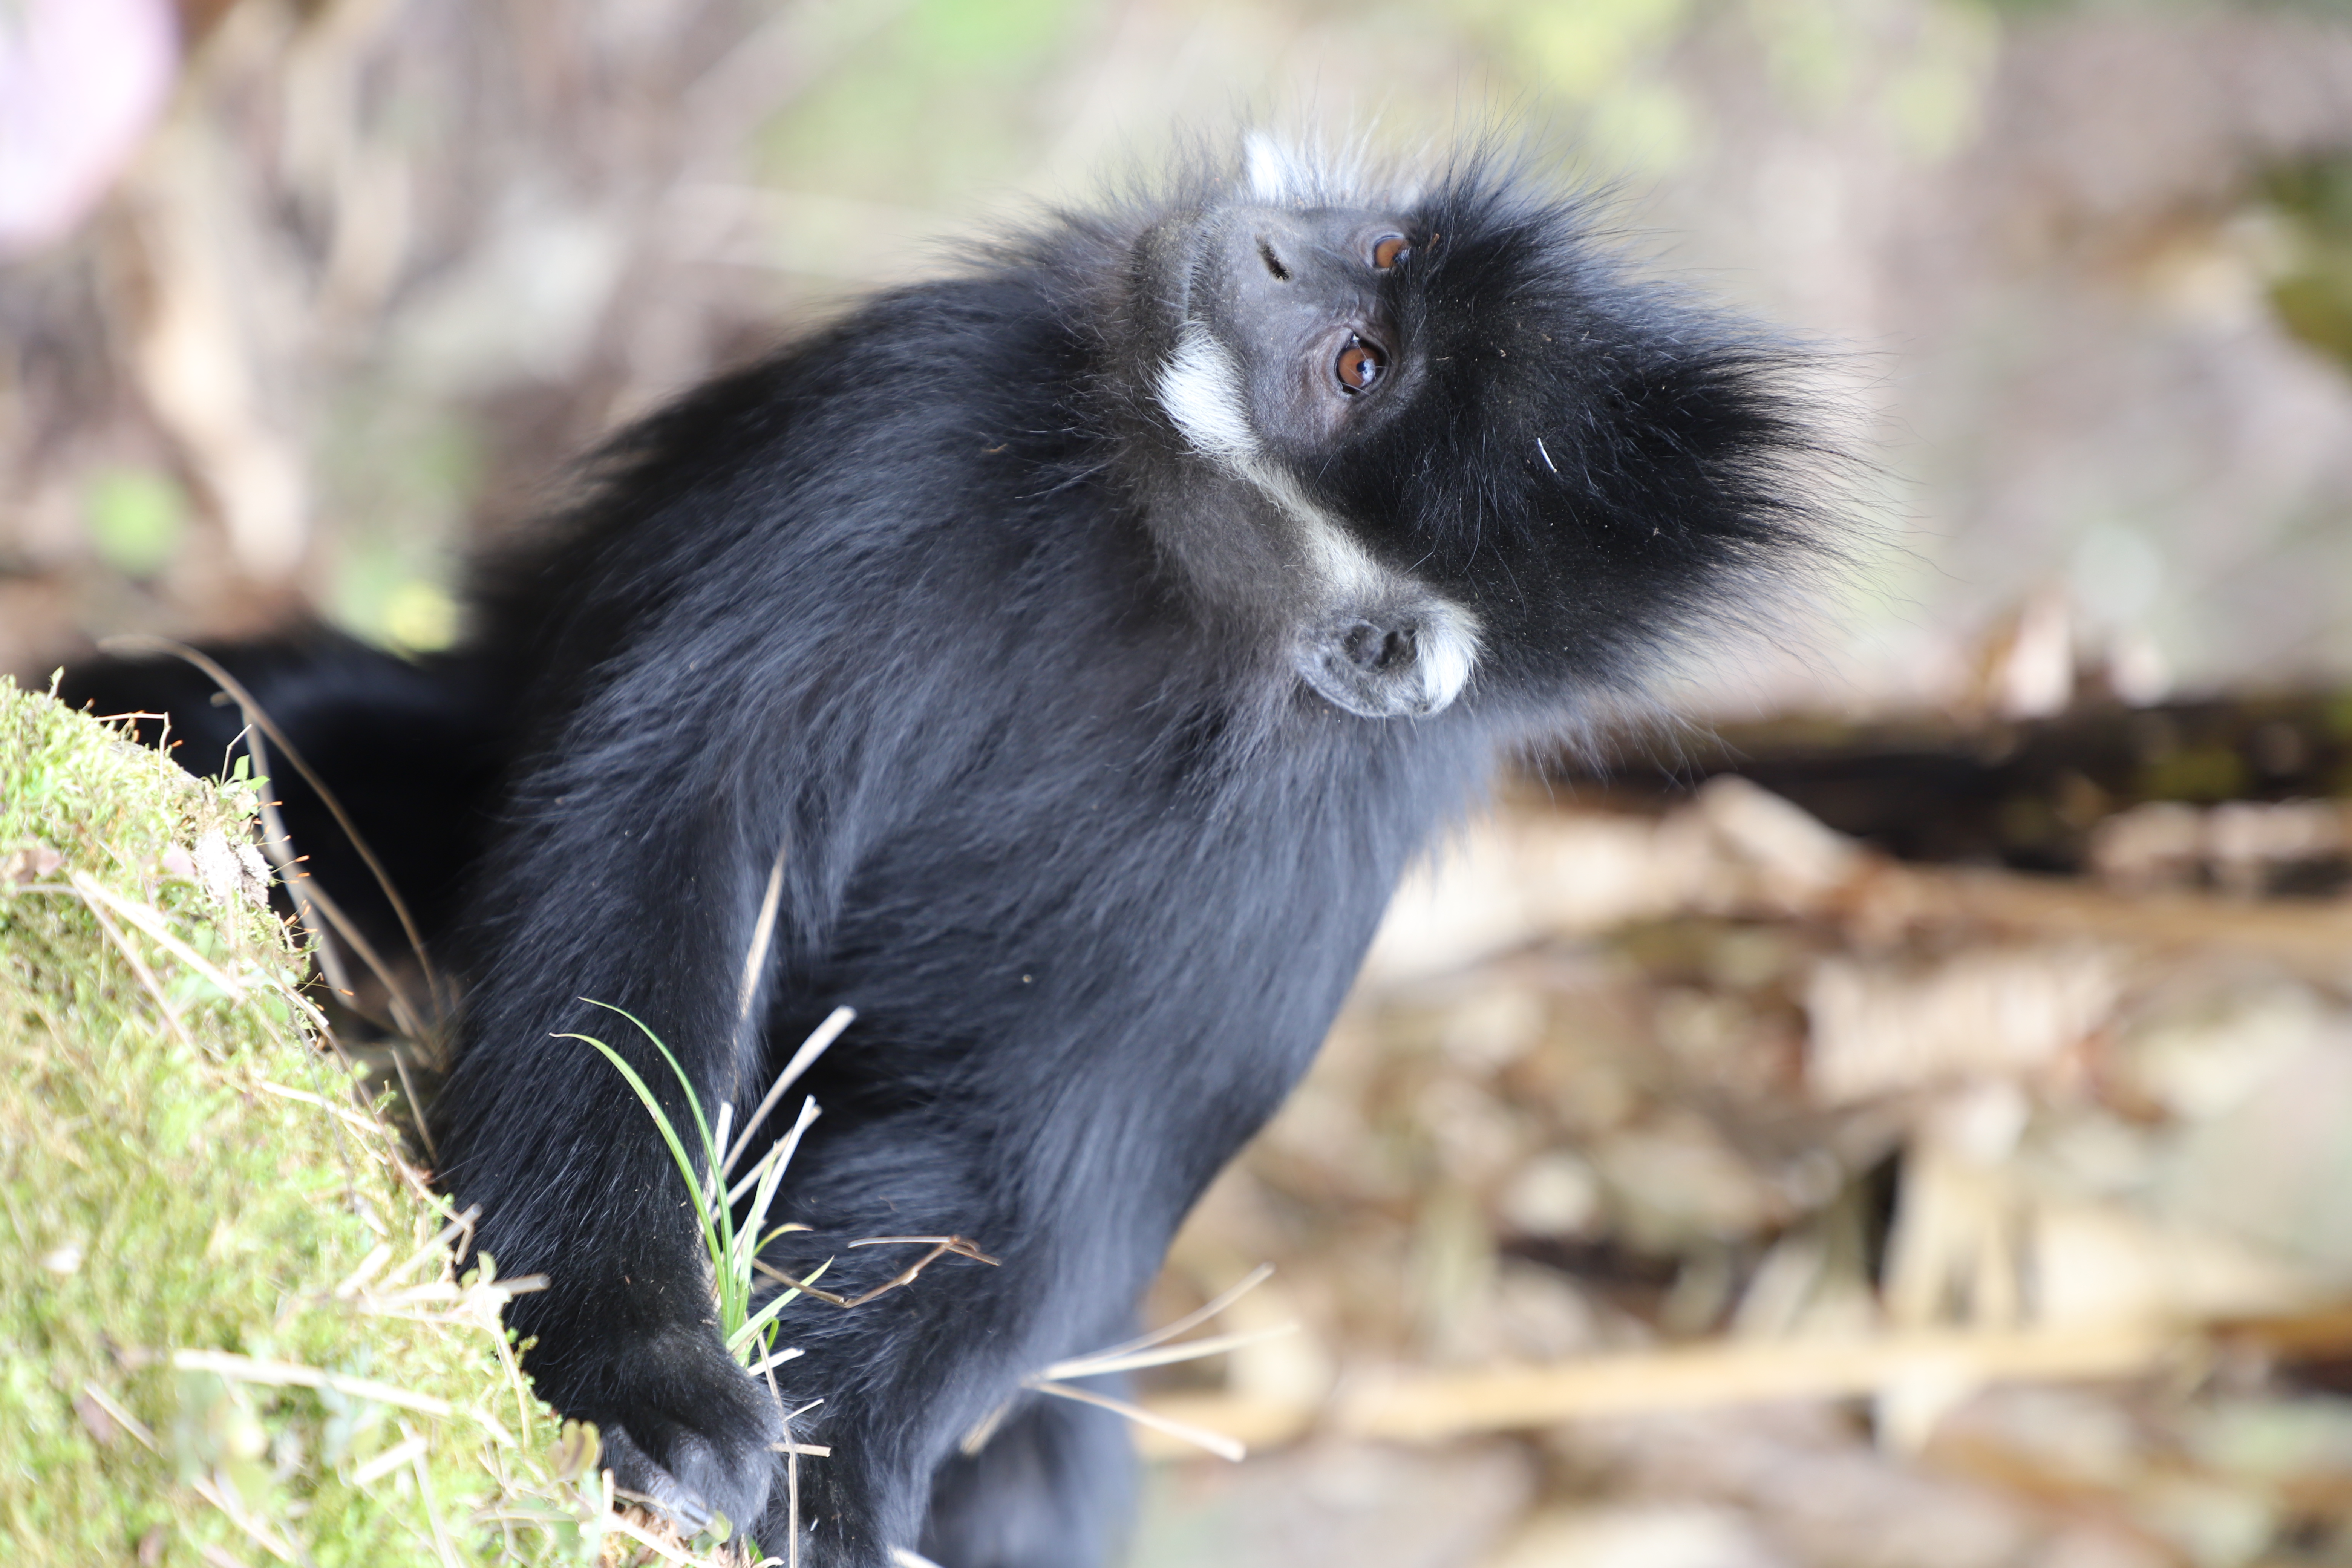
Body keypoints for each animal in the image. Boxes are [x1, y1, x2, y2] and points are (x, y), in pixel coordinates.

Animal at [59, 137, 1831, 1567]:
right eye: (1382, 272)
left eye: (1352, 360)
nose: (1279, 243)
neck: (1173, 585)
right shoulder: (916, 409)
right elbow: (669, 828)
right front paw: (642, 1361)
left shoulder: (1328, 832)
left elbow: (1025, 1163)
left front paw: (834, 1479)